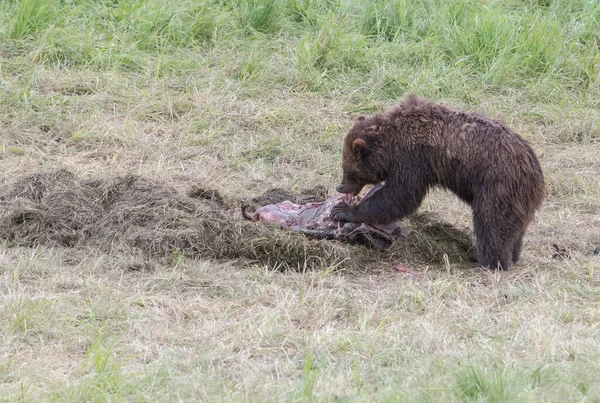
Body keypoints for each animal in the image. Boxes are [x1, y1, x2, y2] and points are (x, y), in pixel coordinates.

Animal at [330, 94, 548, 272]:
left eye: (349, 170)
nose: (340, 187)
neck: (391, 144)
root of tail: (535, 169)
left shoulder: (413, 159)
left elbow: (400, 195)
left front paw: (344, 210)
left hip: (497, 184)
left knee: (491, 222)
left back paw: (488, 262)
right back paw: (513, 255)